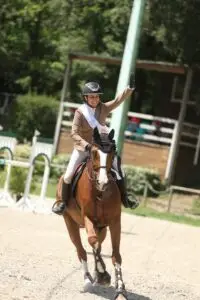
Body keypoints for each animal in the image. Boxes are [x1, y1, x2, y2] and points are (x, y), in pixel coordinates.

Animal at [56, 128, 128, 300]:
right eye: (94, 152)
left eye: (112, 152)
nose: (103, 182)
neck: (99, 193)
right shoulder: (87, 218)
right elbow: (92, 241)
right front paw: (103, 275)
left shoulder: (115, 221)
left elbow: (115, 255)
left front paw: (120, 290)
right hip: (70, 223)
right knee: (82, 250)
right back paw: (88, 279)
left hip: (102, 228)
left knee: (98, 246)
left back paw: (96, 275)